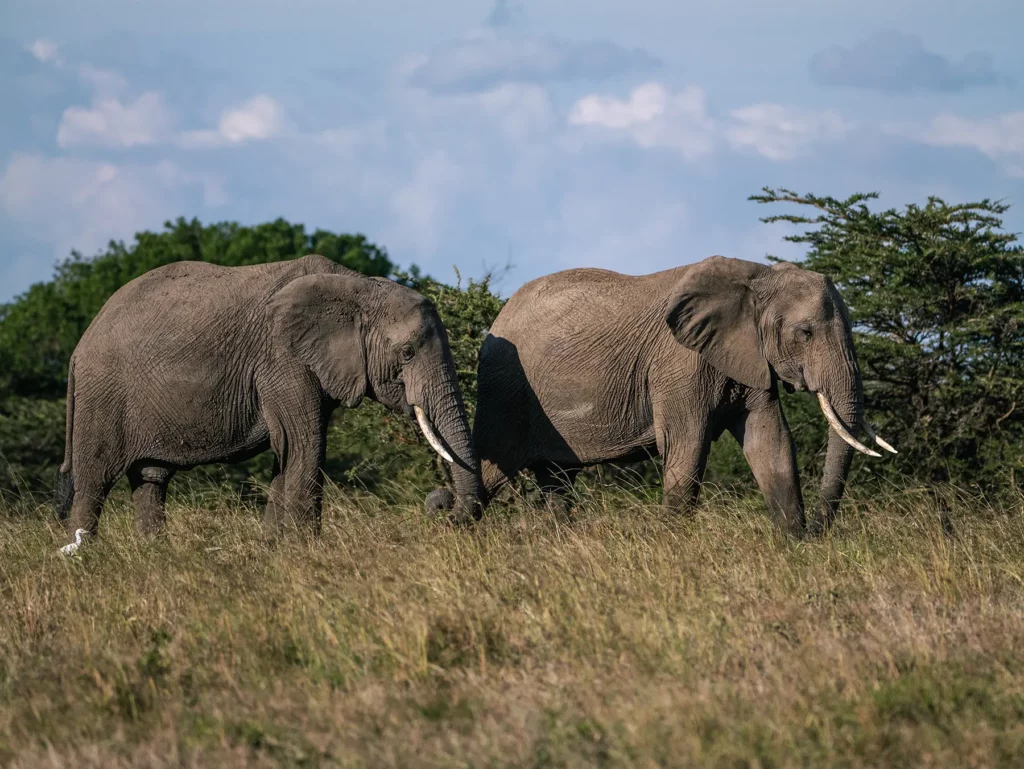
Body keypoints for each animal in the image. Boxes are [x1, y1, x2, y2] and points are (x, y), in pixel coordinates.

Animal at [58, 254, 482, 547]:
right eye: (407, 353)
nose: (442, 505)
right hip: (102, 395)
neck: (356, 286)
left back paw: (157, 555)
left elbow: (288, 453)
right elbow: (304, 447)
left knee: (150, 479)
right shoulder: (283, 360)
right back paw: (85, 557)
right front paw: (306, 552)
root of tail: (80, 345)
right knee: (94, 479)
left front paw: (272, 550)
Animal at [429, 255, 894, 535]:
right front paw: (675, 544)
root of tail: (497, 316)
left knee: (556, 481)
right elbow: (688, 448)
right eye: (805, 333)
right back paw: (450, 524)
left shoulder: (750, 358)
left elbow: (771, 442)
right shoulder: (679, 365)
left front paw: (793, 545)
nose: (816, 529)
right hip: (506, 389)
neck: (756, 276)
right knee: (493, 467)